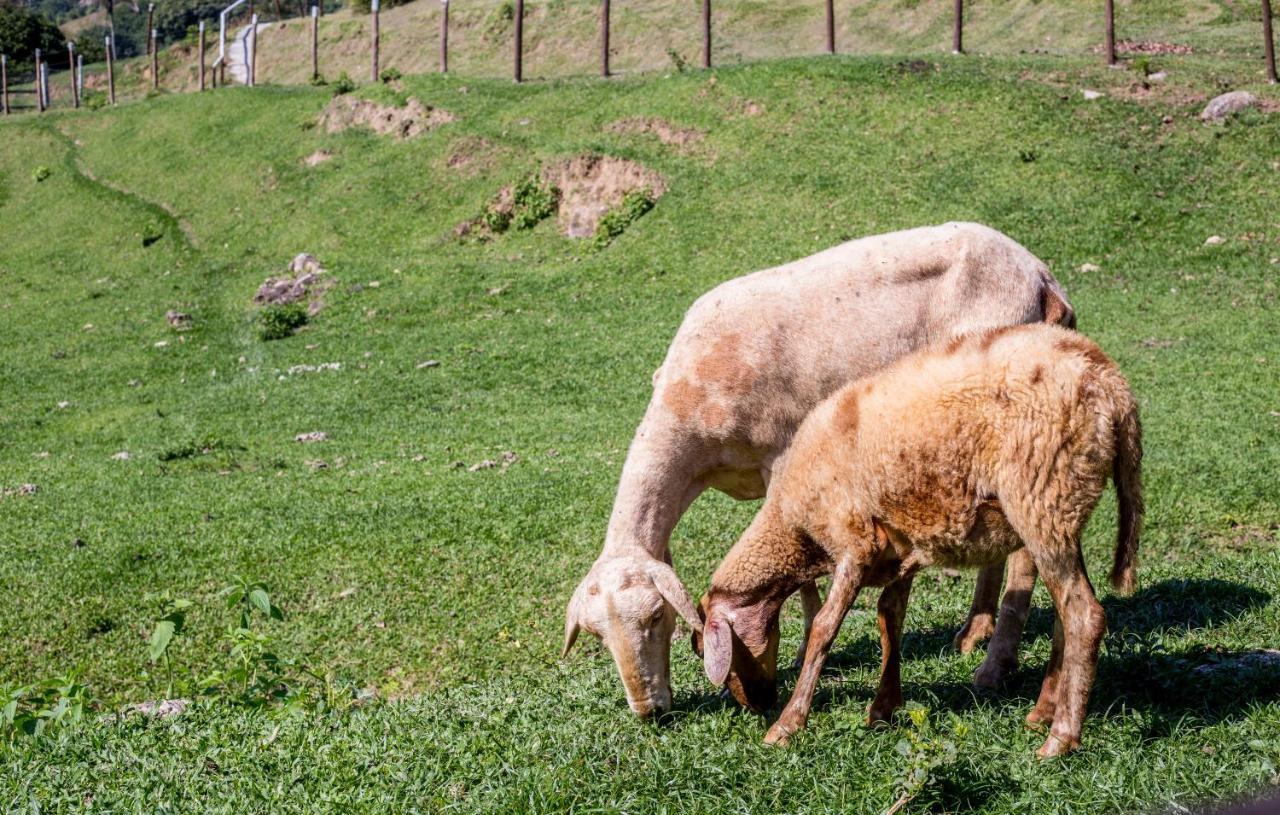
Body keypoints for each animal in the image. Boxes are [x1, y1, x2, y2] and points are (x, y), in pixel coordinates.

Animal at [696, 323, 1146, 757]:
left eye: (708, 652)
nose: (755, 704)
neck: (793, 525)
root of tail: (1111, 384)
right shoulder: (899, 548)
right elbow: (889, 617)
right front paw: (883, 708)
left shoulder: (854, 540)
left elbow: (824, 627)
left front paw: (787, 725)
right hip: (1064, 509)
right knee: (1064, 615)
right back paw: (1043, 711)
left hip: (1043, 500)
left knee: (1085, 616)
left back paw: (1060, 738)